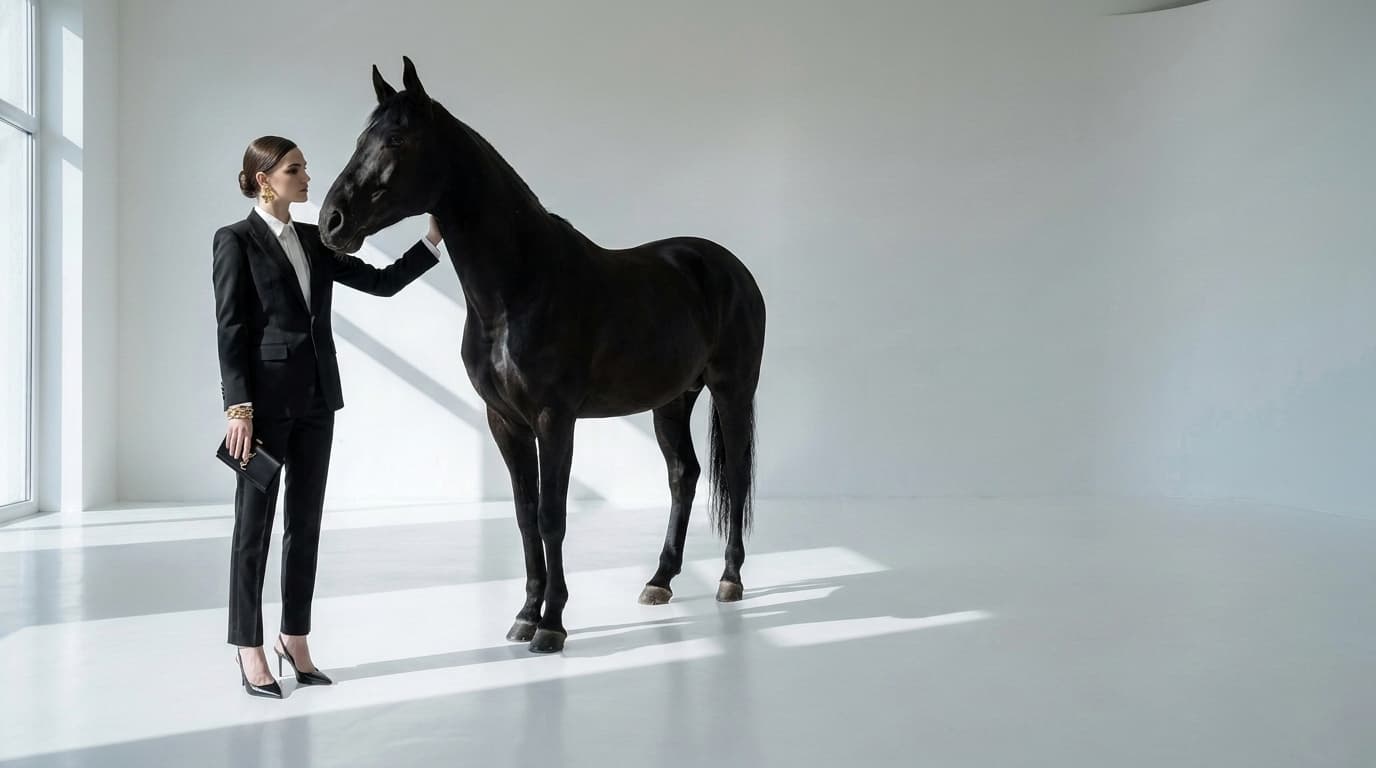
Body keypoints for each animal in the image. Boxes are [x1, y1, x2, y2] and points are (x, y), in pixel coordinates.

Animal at [319, 57, 766, 653]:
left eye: (396, 138)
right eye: (361, 139)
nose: (331, 222)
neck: (519, 289)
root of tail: (729, 267)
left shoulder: (556, 418)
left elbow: (553, 516)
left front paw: (552, 625)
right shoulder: (504, 421)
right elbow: (525, 515)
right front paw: (526, 614)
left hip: (731, 390)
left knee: (734, 476)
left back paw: (729, 579)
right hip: (671, 401)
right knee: (684, 476)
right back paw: (660, 580)